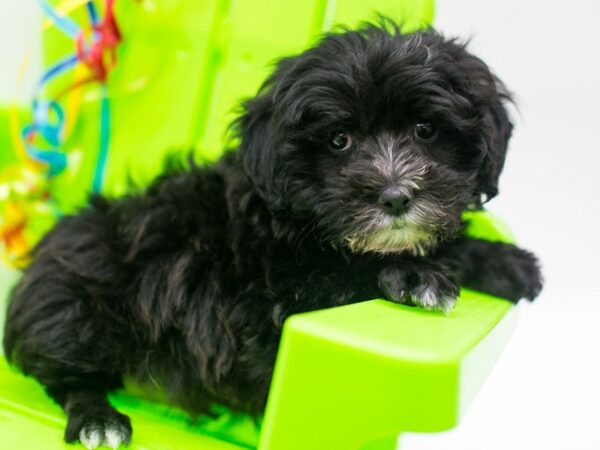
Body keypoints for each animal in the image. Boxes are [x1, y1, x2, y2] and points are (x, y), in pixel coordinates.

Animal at [2, 22, 540, 448]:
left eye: (426, 130)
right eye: (339, 141)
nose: (394, 197)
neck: (298, 224)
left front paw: (505, 263)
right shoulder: (259, 309)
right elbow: (347, 278)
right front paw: (414, 276)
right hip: (75, 309)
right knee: (63, 373)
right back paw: (99, 419)